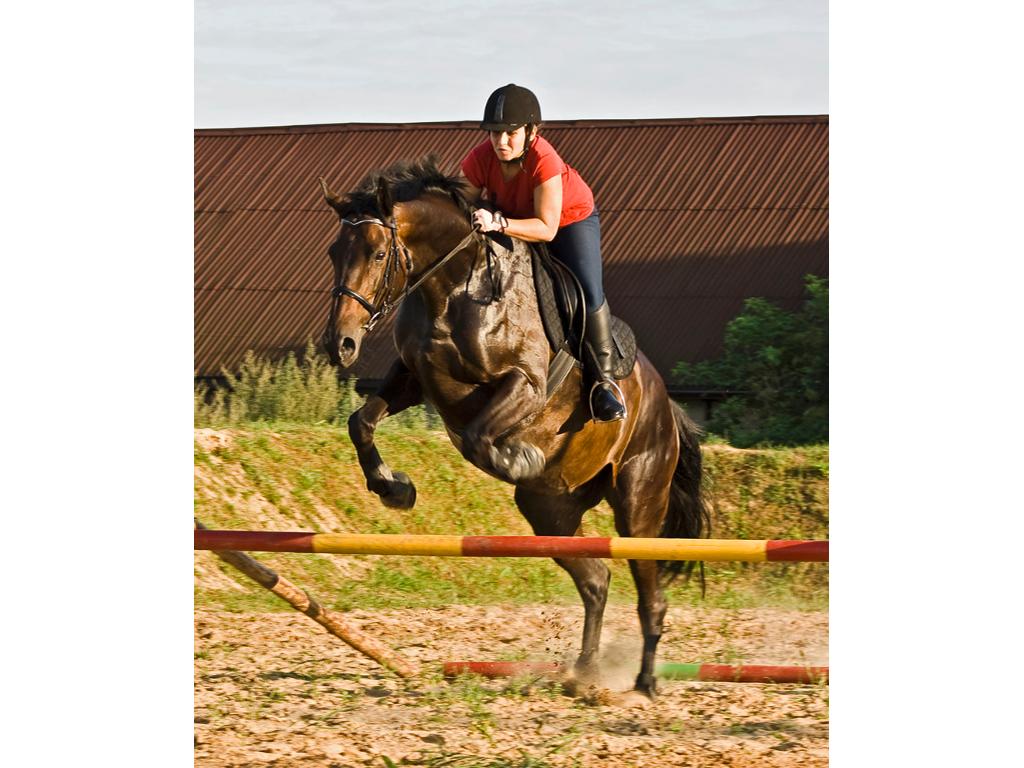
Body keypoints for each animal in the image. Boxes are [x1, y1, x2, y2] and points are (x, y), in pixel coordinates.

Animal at [317, 157, 704, 704]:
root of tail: (667, 408)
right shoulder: (414, 377)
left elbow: (478, 438)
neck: (452, 288)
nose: (341, 344)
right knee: (597, 579)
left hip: (638, 500)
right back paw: (583, 674)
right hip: (550, 513)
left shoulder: (526, 383)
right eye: (335, 253)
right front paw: (393, 488)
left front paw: (519, 458)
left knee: (650, 593)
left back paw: (645, 685)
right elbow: (361, 422)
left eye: (376, 252)